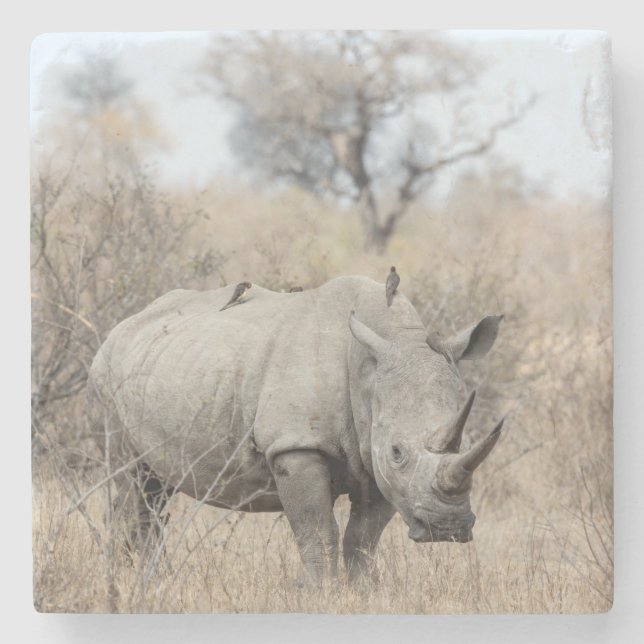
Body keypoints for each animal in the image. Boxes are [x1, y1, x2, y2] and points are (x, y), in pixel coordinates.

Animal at [88, 275, 504, 582]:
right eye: (397, 452)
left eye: (466, 442)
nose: (446, 528)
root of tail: (122, 326)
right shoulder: (295, 445)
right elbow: (317, 531)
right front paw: (323, 592)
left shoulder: (374, 458)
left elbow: (363, 539)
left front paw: (363, 591)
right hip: (106, 377)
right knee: (132, 482)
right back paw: (129, 582)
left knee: (155, 491)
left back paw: (147, 580)